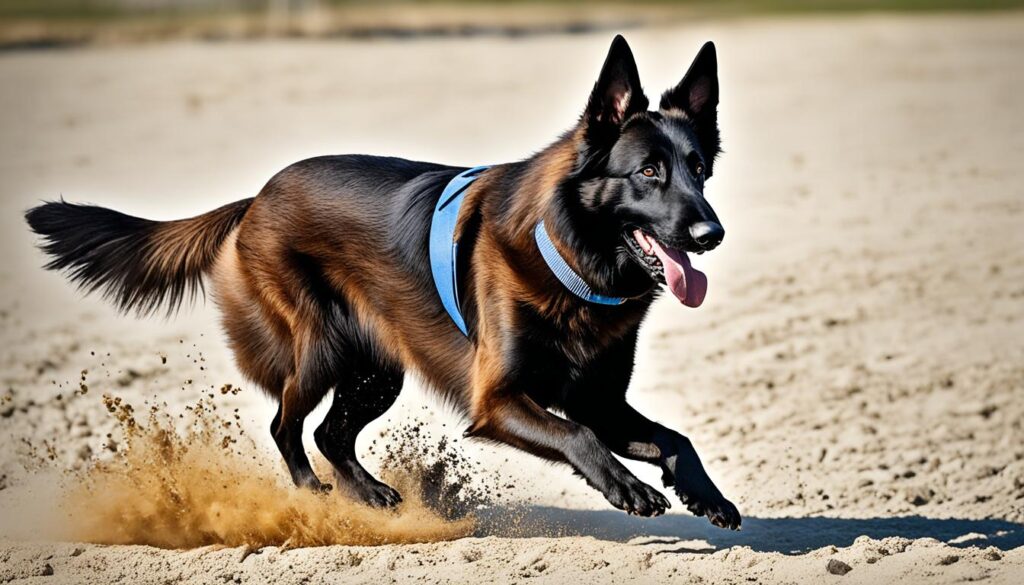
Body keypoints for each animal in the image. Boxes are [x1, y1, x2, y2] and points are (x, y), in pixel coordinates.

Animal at [24, 35, 741, 532]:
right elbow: (579, 437)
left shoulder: (599, 400)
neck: (570, 253)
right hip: (321, 349)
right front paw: (630, 487)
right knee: (288, 426)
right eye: (647, 172)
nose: (711, 232)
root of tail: (255, 198)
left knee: (329, 434)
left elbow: (673, 439)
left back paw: (366, 494)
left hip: (377, 369)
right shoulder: (500, 401)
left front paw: (706, 494)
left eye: (699, 169)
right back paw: (315, 496)